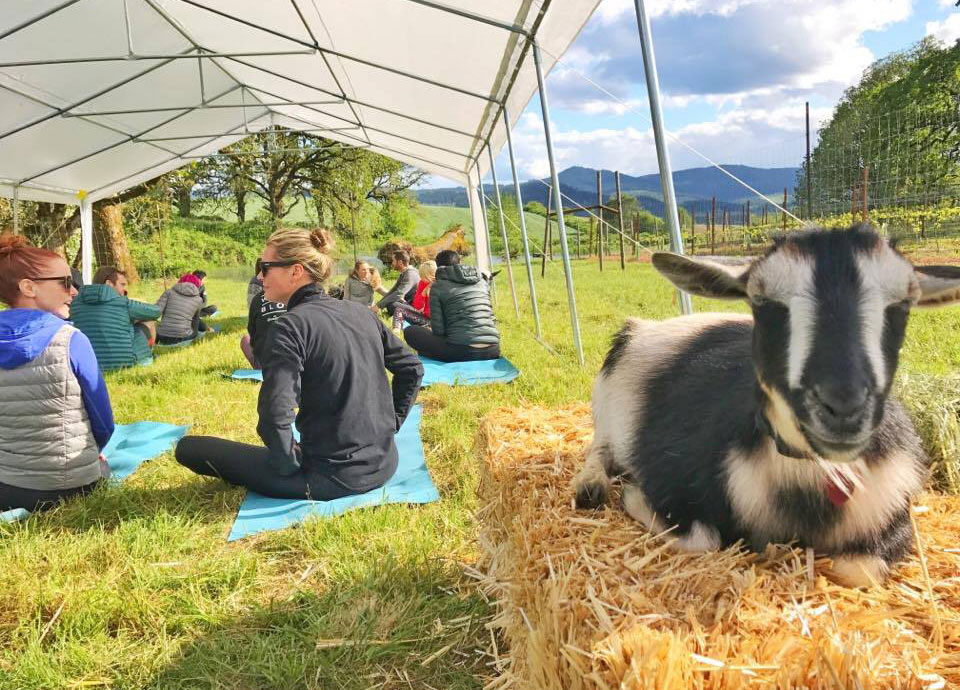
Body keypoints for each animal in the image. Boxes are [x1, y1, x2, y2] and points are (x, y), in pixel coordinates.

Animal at [572, 223, 960, 584]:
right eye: (761, 300)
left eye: (903, 304)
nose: (843, 407)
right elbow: (704, 536)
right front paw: (634, 498)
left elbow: (859, 569)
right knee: (600, 446)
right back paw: (590, 486)